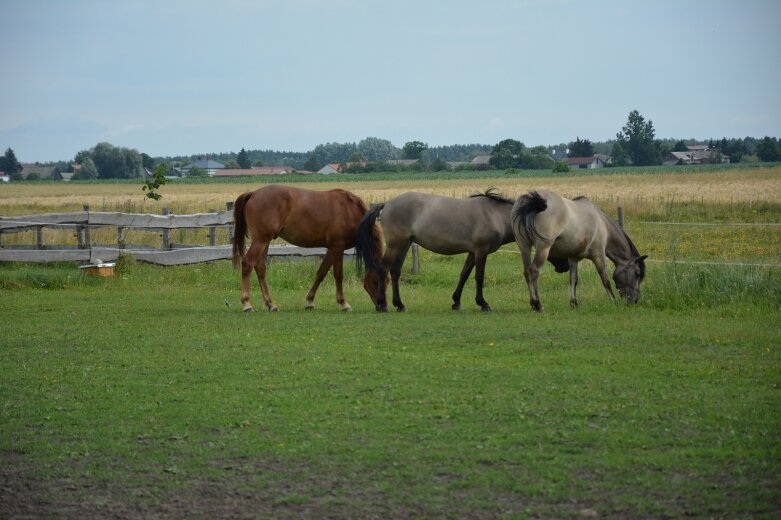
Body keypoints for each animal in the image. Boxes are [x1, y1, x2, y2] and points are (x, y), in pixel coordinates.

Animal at [232, 185, 384, 310]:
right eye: (376, 281)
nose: (382, 307)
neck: (349, 210)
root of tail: (253, 194)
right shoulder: (338, 247)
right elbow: (338, 275)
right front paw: (343, 303)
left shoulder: (332, 248)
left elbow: (321, 272)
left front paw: (310, 301)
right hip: (260, 240)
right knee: (248, 263)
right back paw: (247, 303)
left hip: (266, 241)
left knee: (260, 268)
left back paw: (270, 304)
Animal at [354, 191, 516, 312]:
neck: (494, 214)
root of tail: (387, 203)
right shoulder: (481, 251)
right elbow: (479, 277)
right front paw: (483, 303)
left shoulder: (473, 252)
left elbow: (464, 274)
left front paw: (456, 302)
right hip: (395, 245)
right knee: (384, 269)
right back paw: (382, 305)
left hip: (404, 244)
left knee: (395, 271)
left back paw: (400, 305)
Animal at [512, 191, 644, 312]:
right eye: (637, 273)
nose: (635, 300)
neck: (601, 223)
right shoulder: (598, 255)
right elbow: (605, 280)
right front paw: (613, 301)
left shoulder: (573, 258)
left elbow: (573, 280)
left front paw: (573, 303)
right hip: (543, 248)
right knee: (534, 271)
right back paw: (538, 304)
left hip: (524, 246)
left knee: (527, 272)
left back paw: (533, 304)